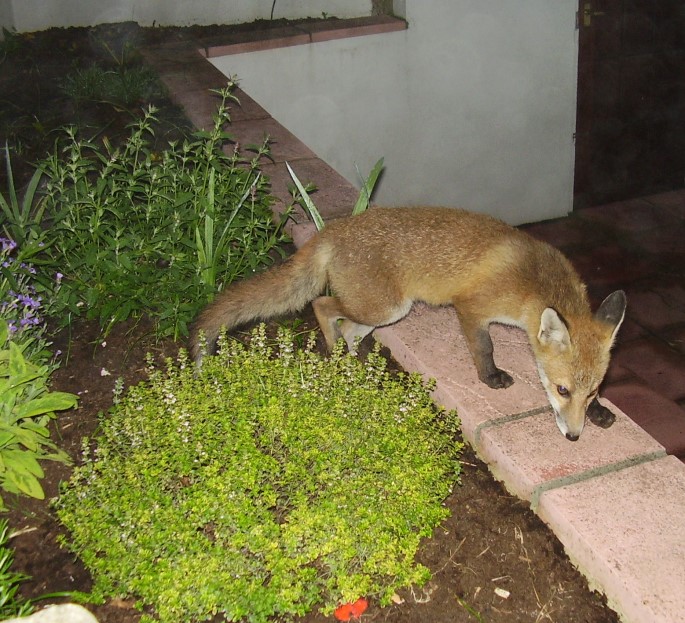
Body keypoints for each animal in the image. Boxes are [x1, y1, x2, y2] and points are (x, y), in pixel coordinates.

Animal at [191, 207, 624, 442]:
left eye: (590, 391)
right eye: (561, 390)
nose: (574, 436)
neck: (533, 281)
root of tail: (333, 229)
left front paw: (601, 412)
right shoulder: (471, 309)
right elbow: (485, 348)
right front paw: (490, 378)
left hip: (385, 313)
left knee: (348, 327)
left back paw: (357, 368)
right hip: (385, 308)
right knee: (322, 304)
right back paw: (334, 353)